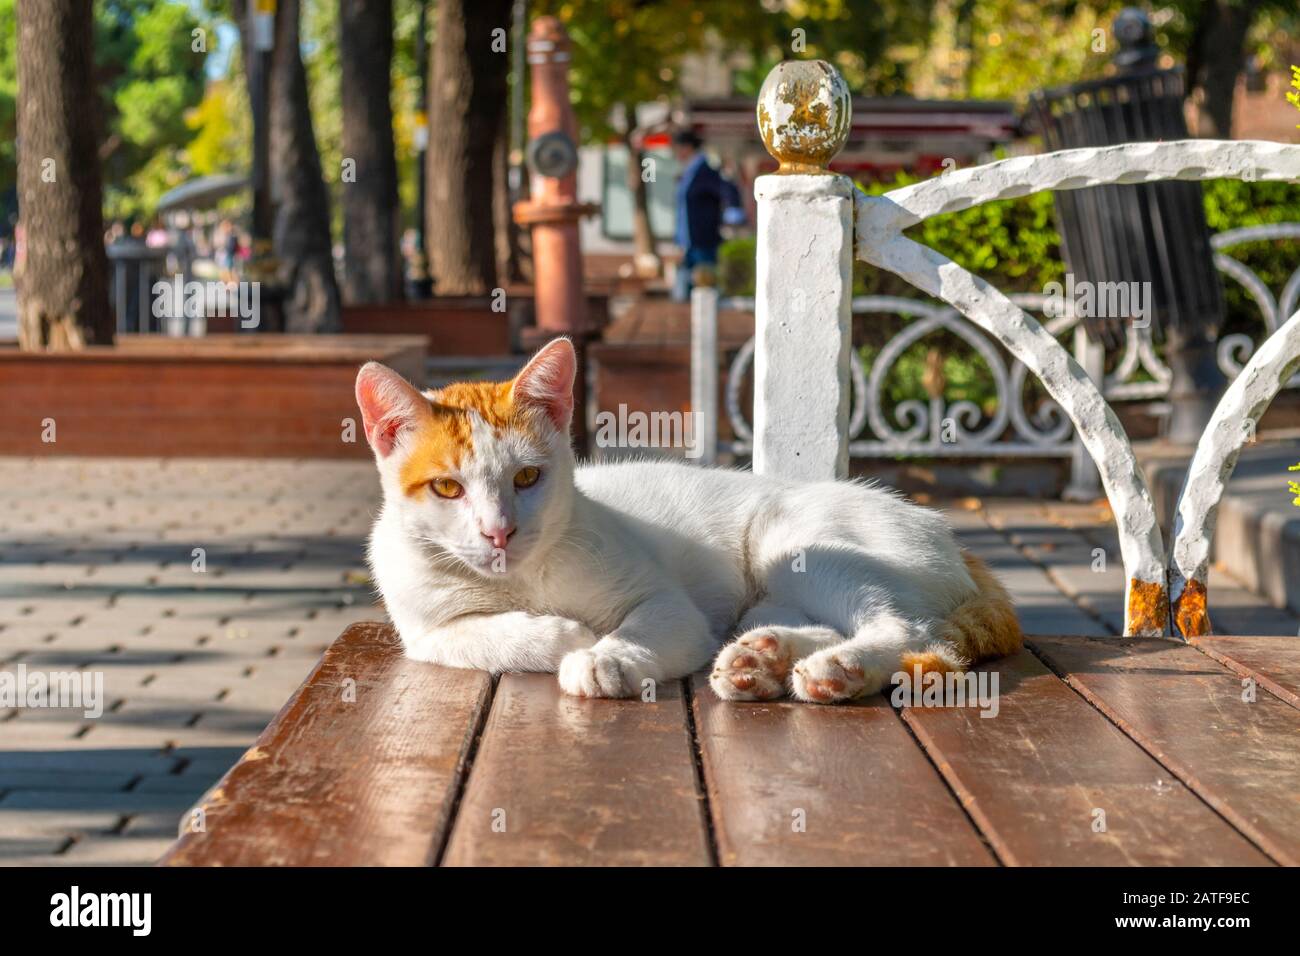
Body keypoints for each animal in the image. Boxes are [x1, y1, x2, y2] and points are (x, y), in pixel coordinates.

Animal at [358, 335, 1024, 702]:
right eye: (447, 487)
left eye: (526, 478)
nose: (499, 531)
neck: (519, 582)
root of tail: (951, 538)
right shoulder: (421, 629)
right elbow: (471, 637)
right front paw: (561, 633)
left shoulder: (668, 604)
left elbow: (651, 625)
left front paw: (605, 654)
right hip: (766, 593)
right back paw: (764, 661)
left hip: (793, 542)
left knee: (910, 629)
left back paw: (838, 669)